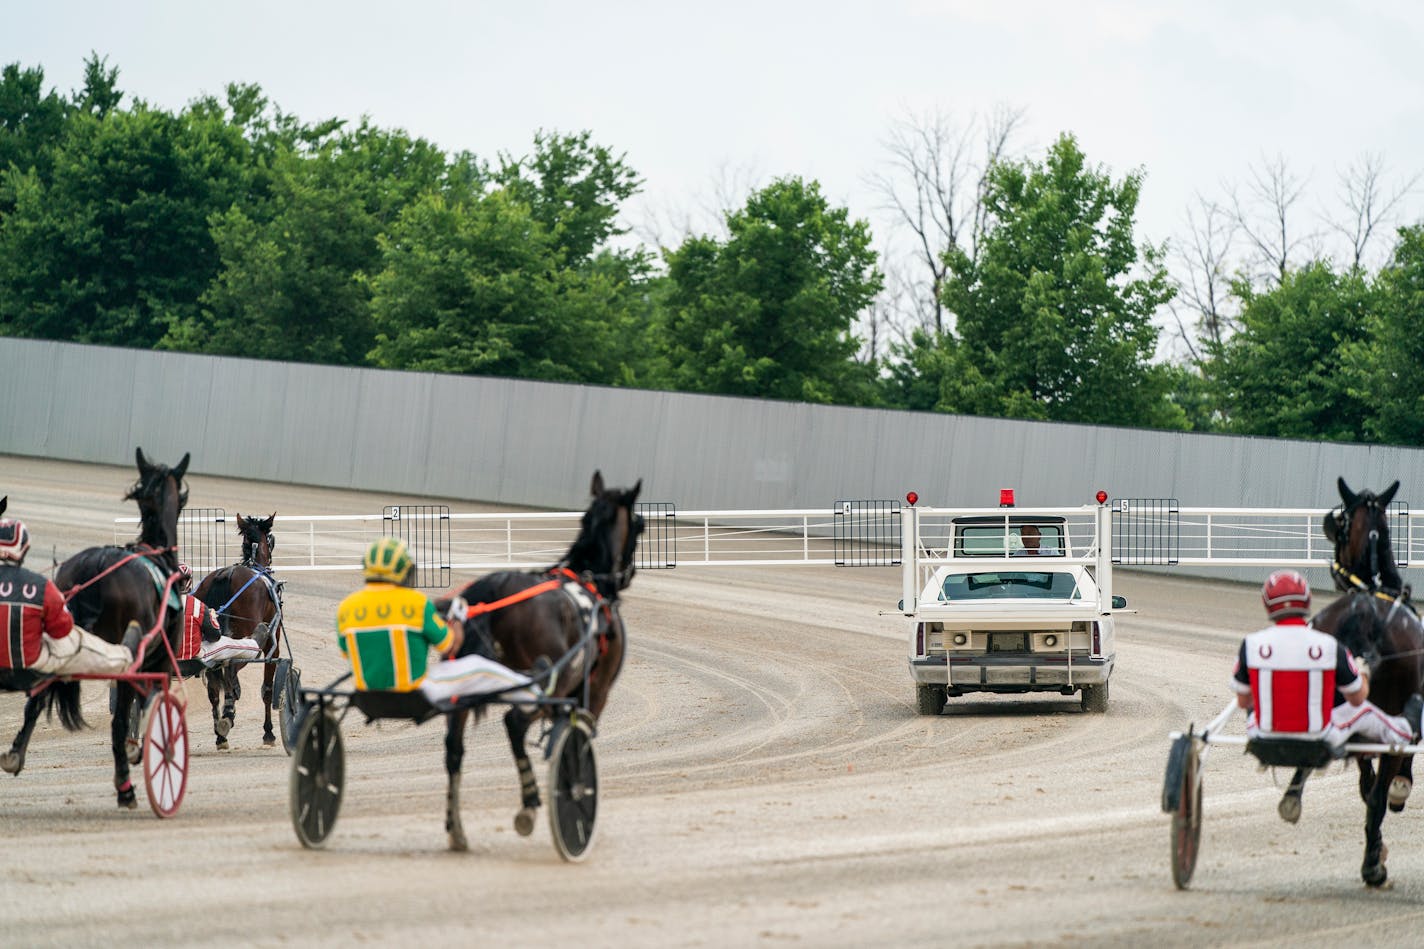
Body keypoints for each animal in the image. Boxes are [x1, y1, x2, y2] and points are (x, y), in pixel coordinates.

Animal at [0, 444, 189, 803]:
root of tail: (96, 563)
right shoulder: (159, 661)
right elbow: (146, 706)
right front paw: (143, 748)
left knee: (35, 700)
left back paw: (16, 754)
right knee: (117, 722)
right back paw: (125, 786)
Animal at [195, 510, 283, 746]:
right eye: (270, 539)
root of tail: (225, 574)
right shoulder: (272, 642)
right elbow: (267, 689)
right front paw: (269, 732)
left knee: (213, 686)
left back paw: (220, 733)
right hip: (247, 639)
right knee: (231, 669)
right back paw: (228, 714)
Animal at [435, 473, 643, 849]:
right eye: (640, 523)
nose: (627, 574)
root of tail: (498, 585)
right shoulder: (596, 691)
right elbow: (577, 742)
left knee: (454, 750)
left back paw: (457, 830)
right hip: (547, 687)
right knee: (515, 723)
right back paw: (529, 805)